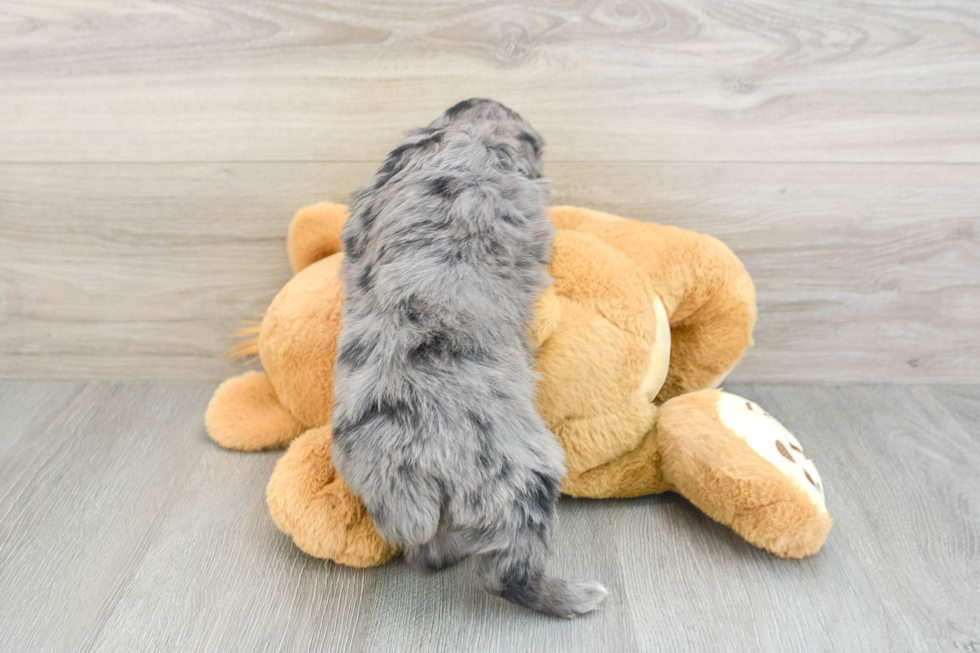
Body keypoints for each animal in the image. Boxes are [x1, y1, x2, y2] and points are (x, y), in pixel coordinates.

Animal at [334, 98, 608, 616]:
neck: (460, 131)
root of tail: (404, 463)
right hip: (522, 477)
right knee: (507, 571)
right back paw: (576, 597)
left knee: (429, 553)